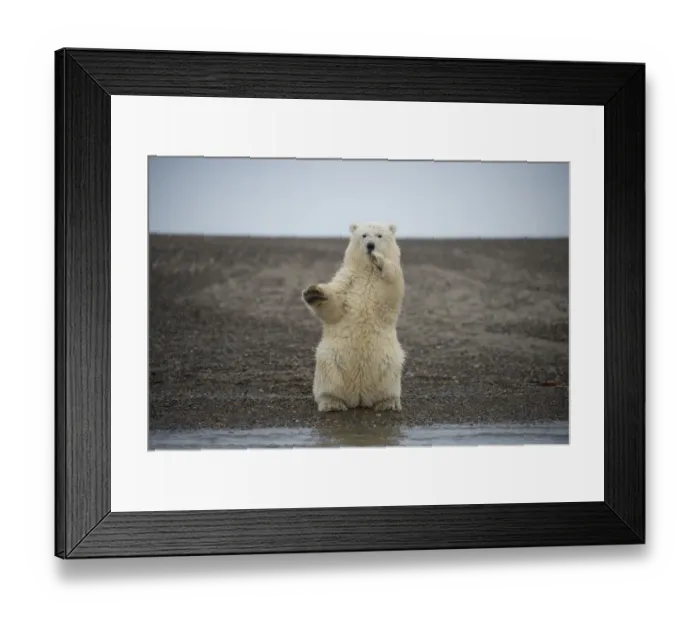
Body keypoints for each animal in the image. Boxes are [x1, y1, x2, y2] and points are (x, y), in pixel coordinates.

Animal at [302, 221, 405, 413]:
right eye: (364, 235)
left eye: (379, 235)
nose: (370, 246)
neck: (367, 272)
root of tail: (360, 397)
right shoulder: (347, 279)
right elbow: (335, 305)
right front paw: (313, 292)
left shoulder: (385, 285)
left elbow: (392, 284)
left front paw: (380, 260)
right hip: (332, 358)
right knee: (329, 375)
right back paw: (332, 402)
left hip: (388, 360)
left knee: (389, 376)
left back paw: (388, 402)